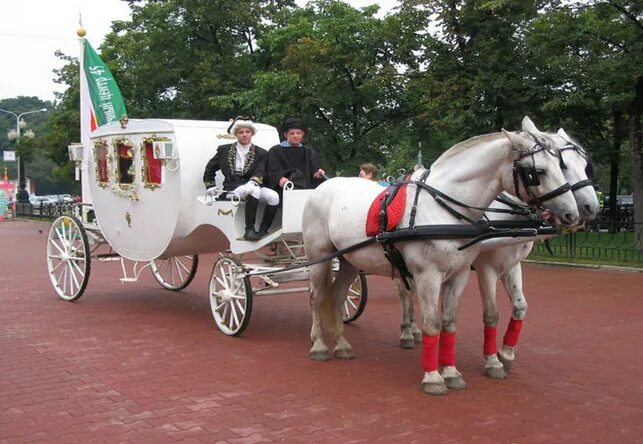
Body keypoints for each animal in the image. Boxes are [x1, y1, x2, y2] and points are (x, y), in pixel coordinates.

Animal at [302, 126, 580, 394]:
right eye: (538, 172)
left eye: (564, 165)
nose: (574, 213)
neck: (444, 209)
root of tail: (322, 187)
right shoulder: (432, 275)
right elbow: (433, 324)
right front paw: (433, 377)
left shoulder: (460, 275)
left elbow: (449, 322)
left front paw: (451, 372)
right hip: (320, 257)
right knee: (317, 297)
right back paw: (319, 346)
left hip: (349, 259)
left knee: (338, 294)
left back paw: (342, 344)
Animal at [394, 118, 600, 382]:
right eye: (562, 165)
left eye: (585, 165)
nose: (589, 208)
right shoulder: (487, 268)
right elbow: (491, 313)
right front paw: (493, 360)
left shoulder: (512, 265)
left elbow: (520, 307)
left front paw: (507, 353)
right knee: (404, 292)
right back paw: (407, 332)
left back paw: (414, 330)